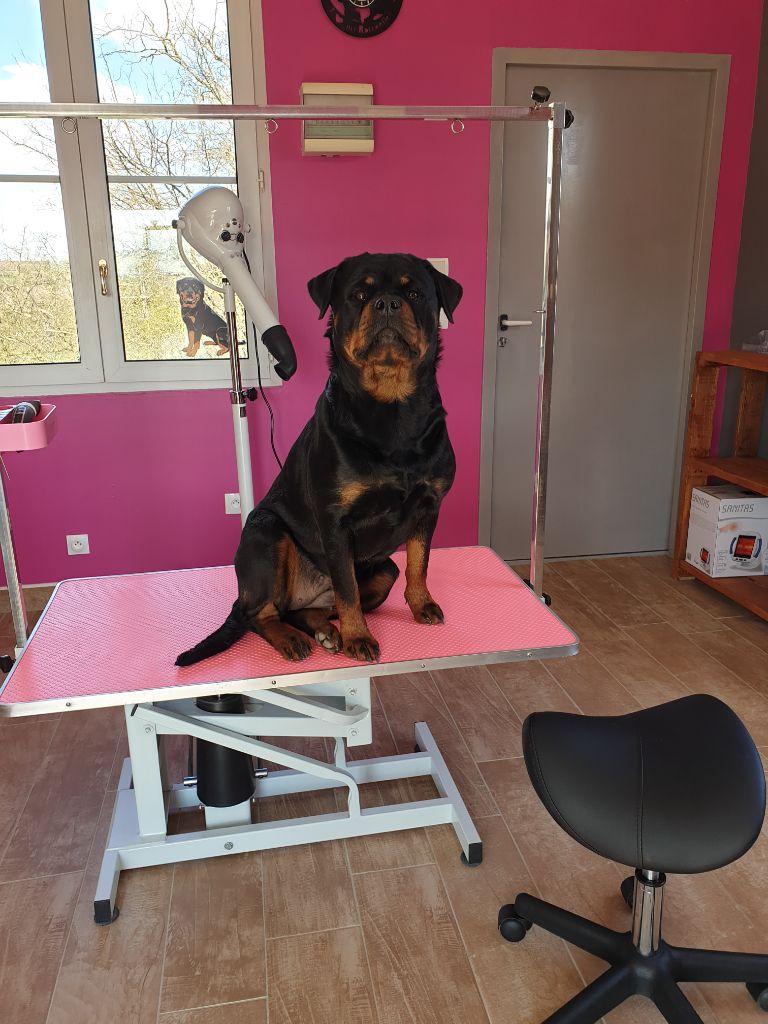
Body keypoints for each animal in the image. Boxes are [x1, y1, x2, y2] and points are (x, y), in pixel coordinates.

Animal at [176, 252, 462, 667]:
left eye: (414, 293)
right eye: (358, 295)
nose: (388, 303)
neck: (392, 410)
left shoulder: (429, 507)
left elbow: (418, 562)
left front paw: (421, 604)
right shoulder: (335, 522)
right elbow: (347, 589)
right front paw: (359, 637)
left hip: (382, 569)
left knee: (309, 609)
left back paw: (325, 632)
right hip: (266, 533)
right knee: (260, 613)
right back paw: (291, 639)